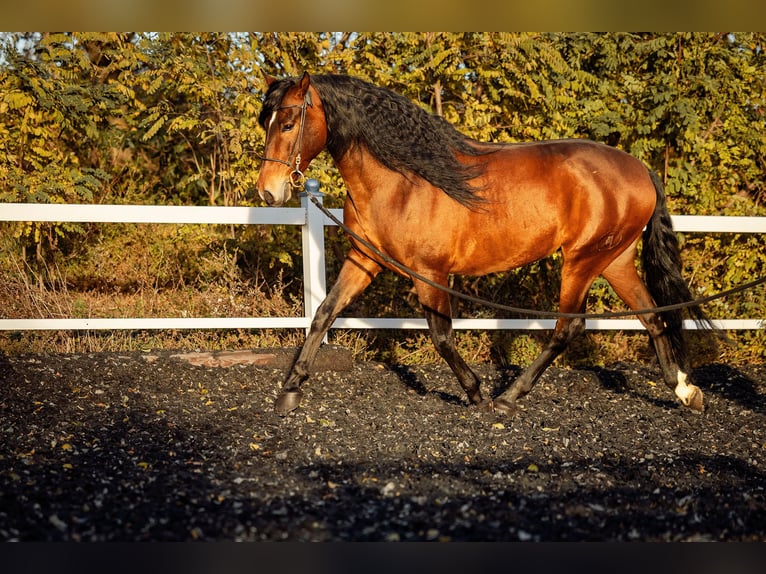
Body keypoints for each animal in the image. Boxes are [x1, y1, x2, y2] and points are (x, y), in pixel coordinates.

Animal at [255, 71, 711, 417]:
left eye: (289, 123)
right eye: (266, 122)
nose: (268, 191)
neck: (404, 180)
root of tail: (640, 169)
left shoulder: (431, 272)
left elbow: (441, 336)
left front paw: (476, 394)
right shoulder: (365, 258)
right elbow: (324, 315)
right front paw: (290, 391)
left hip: (582, 260)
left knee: (568, 328)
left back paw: (508, 398)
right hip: (613, 260)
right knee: (652, 317)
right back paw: (685, 390)